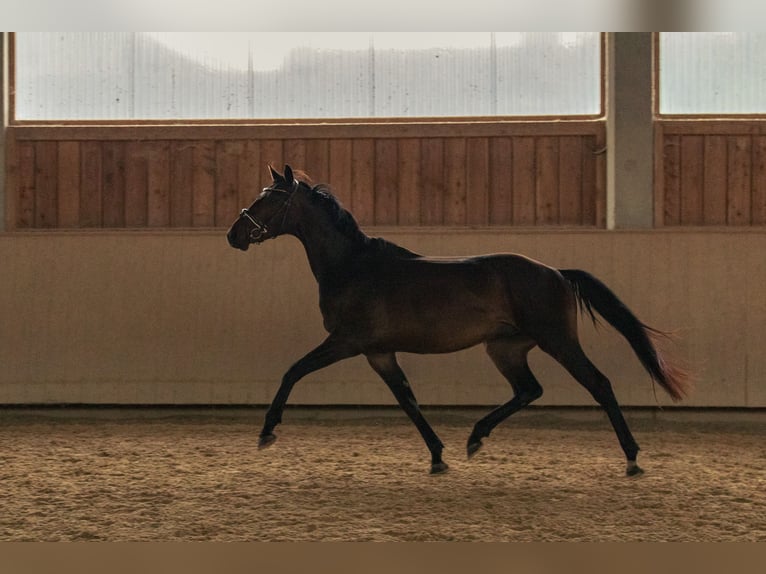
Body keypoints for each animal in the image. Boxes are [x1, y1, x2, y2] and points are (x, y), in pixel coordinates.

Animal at [226, 165, 688, 476]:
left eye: (270, 198)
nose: (234, 235)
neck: (353, 266)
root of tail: (556, 272)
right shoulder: (379, 353)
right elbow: (408, 401)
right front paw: (437, 456)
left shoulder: (347, 342)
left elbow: (293, 371)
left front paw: (267, 431)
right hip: (504, 348)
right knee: (528, 390)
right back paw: (475, 437)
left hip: (558, 341)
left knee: (598, 384)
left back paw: (632, 458)